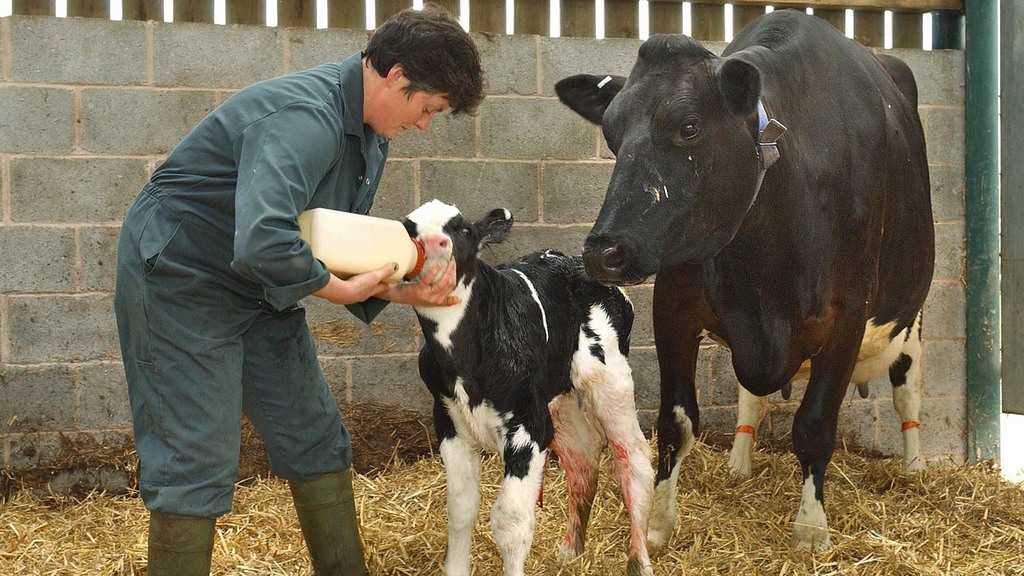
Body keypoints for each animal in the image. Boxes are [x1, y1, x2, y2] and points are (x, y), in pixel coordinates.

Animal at [403, 199, 656, 576]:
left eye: (463, 230)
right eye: (408, 229)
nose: (434, 245)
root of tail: (575, 262)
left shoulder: (528, 427)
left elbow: (510, 519)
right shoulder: (449, 422)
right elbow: (461, 508)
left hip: (610, 378)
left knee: (634, 458)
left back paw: (639, 561)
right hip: (558, 399)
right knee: (582, 456)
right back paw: (570, 551)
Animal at [554, 9, 934, 552]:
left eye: (689, 126)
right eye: (611, 135)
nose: (603, 251)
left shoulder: (848, 314)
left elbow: (814, 425)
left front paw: (810, 528)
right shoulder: (674, 303)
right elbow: (675, 420)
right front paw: (657, 525)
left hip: (912, 313)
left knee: (907, 387)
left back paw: (916, 464)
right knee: (750, 396)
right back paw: (739, 461)